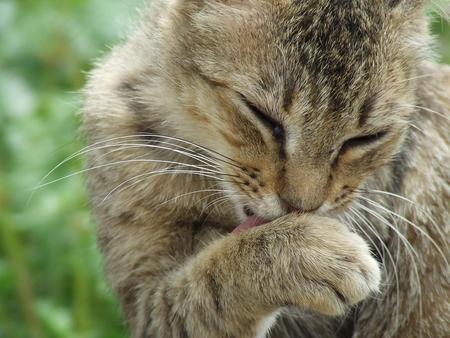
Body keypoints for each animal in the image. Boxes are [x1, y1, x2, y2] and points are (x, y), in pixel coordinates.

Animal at [82, 0, 448, 338]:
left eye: (367, 138)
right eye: (262, 115)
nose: (302, 207)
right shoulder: (148, 300)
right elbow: (209, 286)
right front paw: (306, 253)